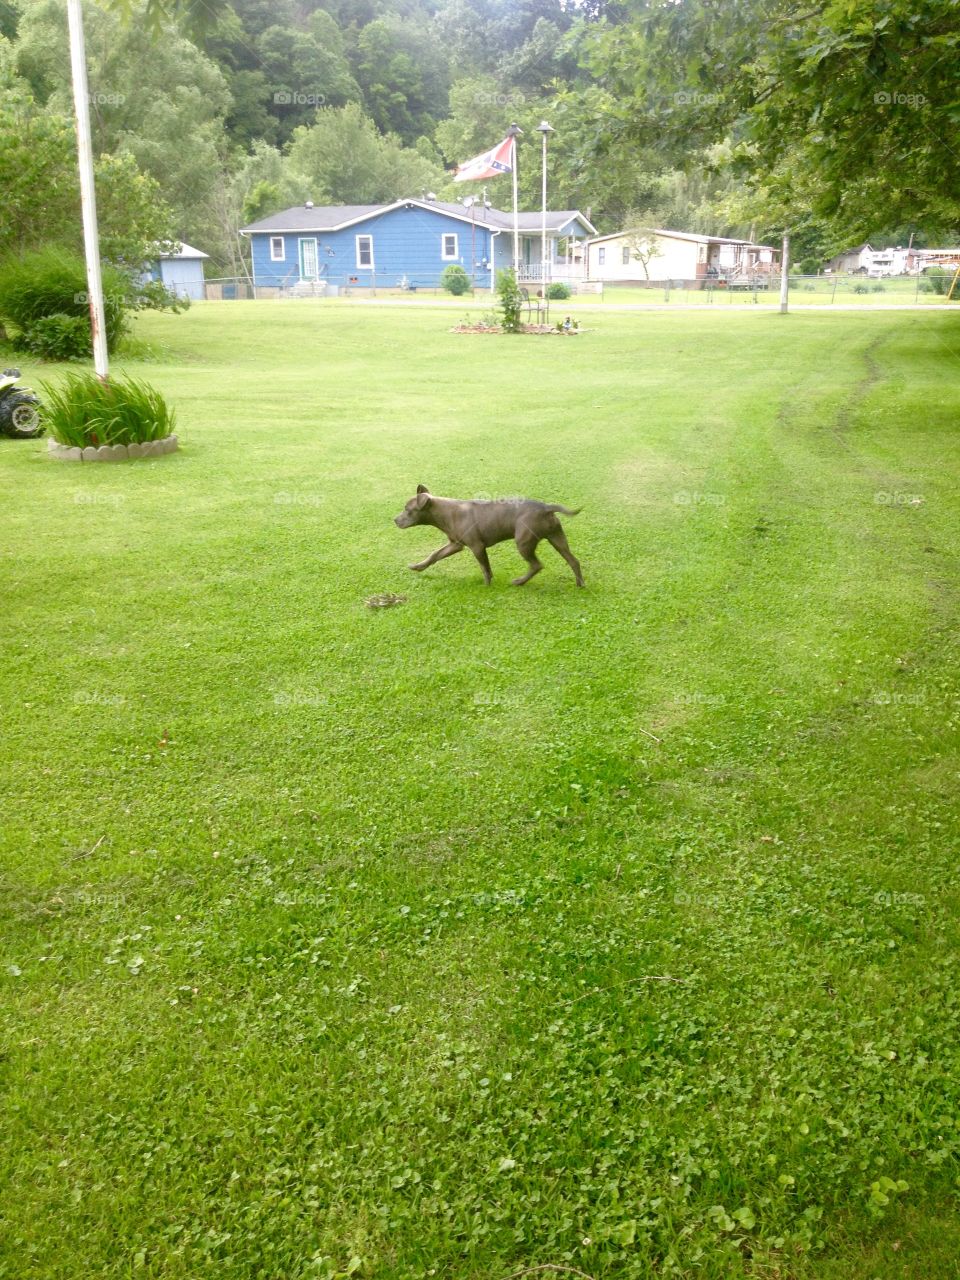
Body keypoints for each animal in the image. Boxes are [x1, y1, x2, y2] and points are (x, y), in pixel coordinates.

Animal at [391, 483, 586, 588]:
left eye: (408, 510)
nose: (394, 520)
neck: (445, 512)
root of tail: (546, 508)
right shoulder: (455, 544)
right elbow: (434, 555)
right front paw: (418, 566)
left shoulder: (477, 547)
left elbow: (485, 567)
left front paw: (486, 586)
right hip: (557, 538)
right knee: (573, 561)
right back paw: (580, 584)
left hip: (523, 542)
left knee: (536, 565)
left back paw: (519, 582)